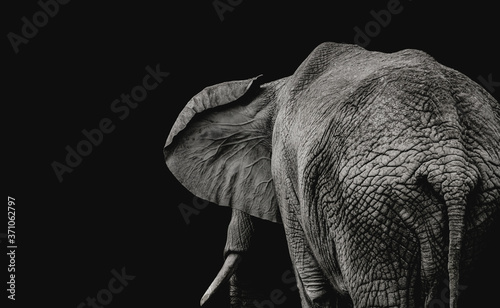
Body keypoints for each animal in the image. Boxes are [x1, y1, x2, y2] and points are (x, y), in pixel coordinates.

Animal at [165, 42, 500, 306]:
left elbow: (315, 288)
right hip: (479, 201)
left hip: (369, 208)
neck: (275, 87)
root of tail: (451, 167)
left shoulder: (286, 176)